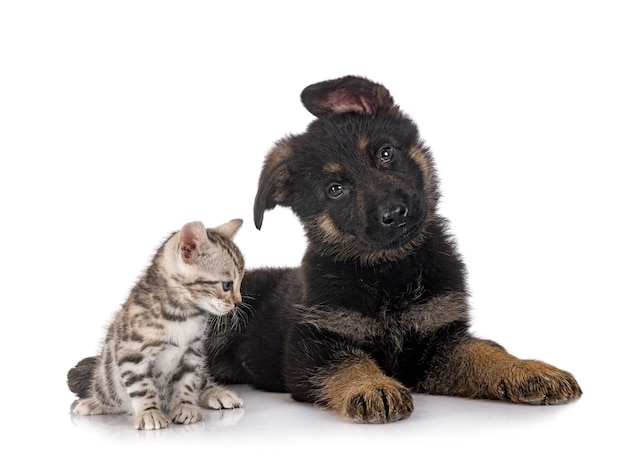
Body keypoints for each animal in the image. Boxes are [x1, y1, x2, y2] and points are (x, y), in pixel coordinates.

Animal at [69, 219, 243, 430]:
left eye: (240, 282)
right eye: (227, 285)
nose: (238, 302)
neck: (183, 313)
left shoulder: (192, 352)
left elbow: (188, 382)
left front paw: (185, 406)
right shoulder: (132, 353)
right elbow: (142, 387)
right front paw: (149, 413)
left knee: (202, 381)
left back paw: (216, 393)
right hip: (106, 374)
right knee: (108, 393)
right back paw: (94, 403)